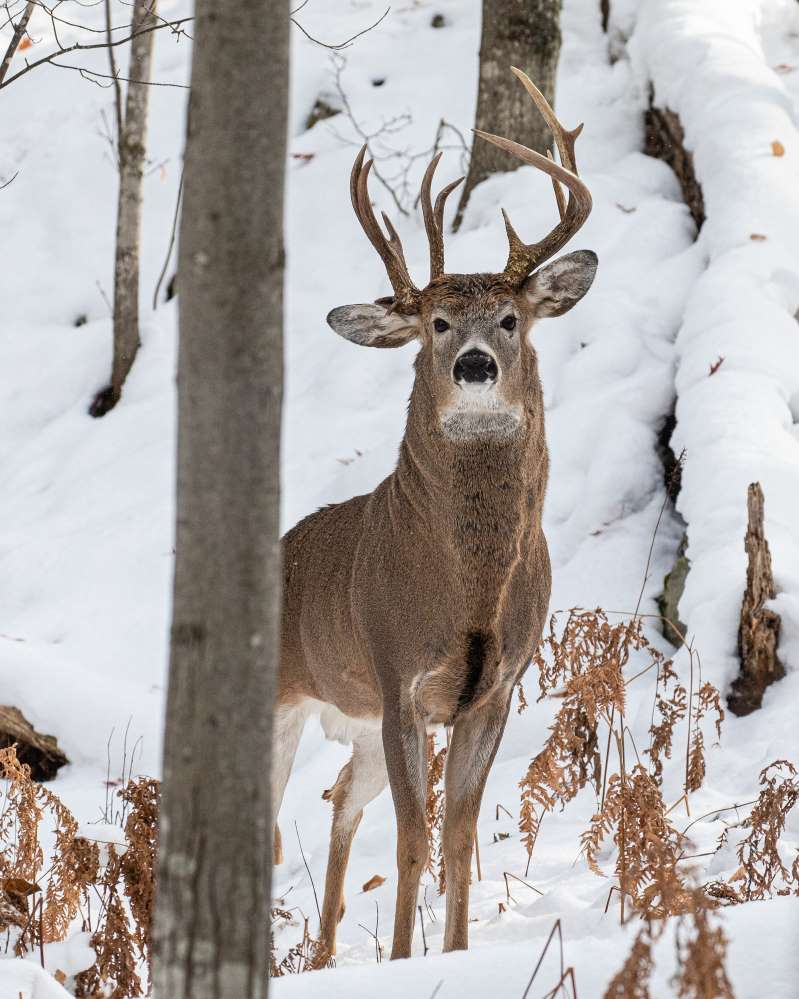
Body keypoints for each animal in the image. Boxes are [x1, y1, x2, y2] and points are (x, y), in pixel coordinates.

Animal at [272, 70, 596, 960]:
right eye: (436, 323)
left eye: (511, 319)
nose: (475, 365)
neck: (468, 593)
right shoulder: (397, 678)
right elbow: (414, 838)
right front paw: (401, 961)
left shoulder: (496, 687)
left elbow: (456, 832)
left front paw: (450, 954)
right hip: (282, 695)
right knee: (268, 822)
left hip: (356, 723)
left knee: (339, 797)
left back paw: (322, 956)